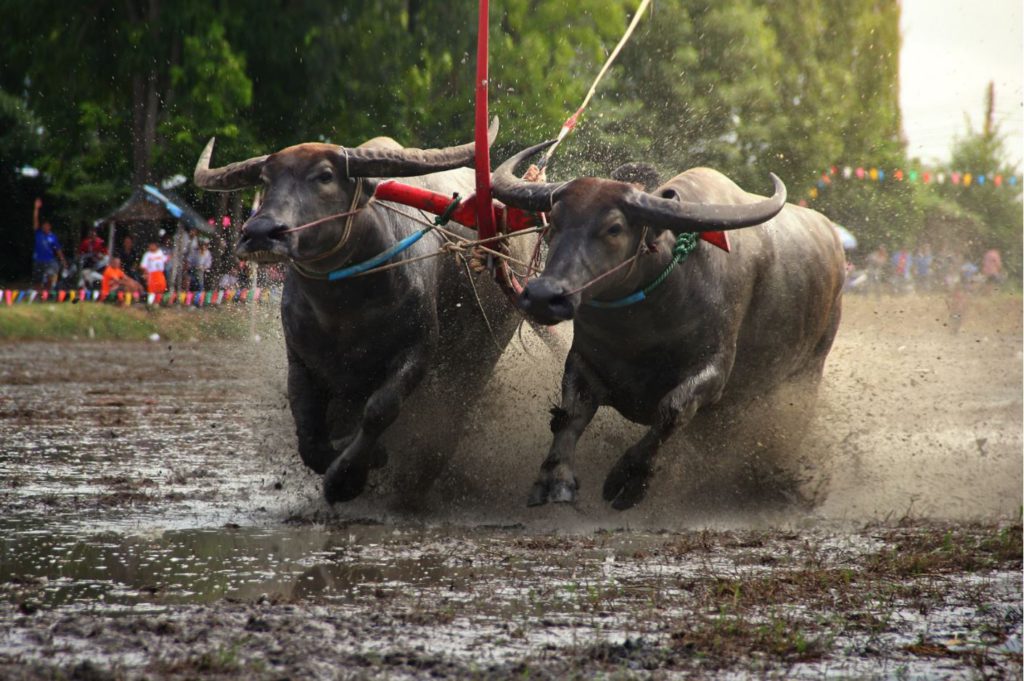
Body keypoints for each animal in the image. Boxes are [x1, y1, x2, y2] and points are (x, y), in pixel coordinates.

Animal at [195, 120, 528, 503]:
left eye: (325, 176)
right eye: (265, 179)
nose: (261, 233)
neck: (343, 307)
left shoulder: (417, 352)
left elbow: (380, 409)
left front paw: (346, 478)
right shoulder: (301, 360)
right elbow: (308, 428)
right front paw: (358, 455)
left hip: (478, 359)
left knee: (452, 419)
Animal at [491, 139, 843, 509]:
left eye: (614, 228)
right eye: (553, 224)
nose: (543, 296)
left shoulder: (714, 373)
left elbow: (672, 410)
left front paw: (629, 479)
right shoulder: (583, 361)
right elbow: (570, 416)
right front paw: (554, 478)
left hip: (807, 374)